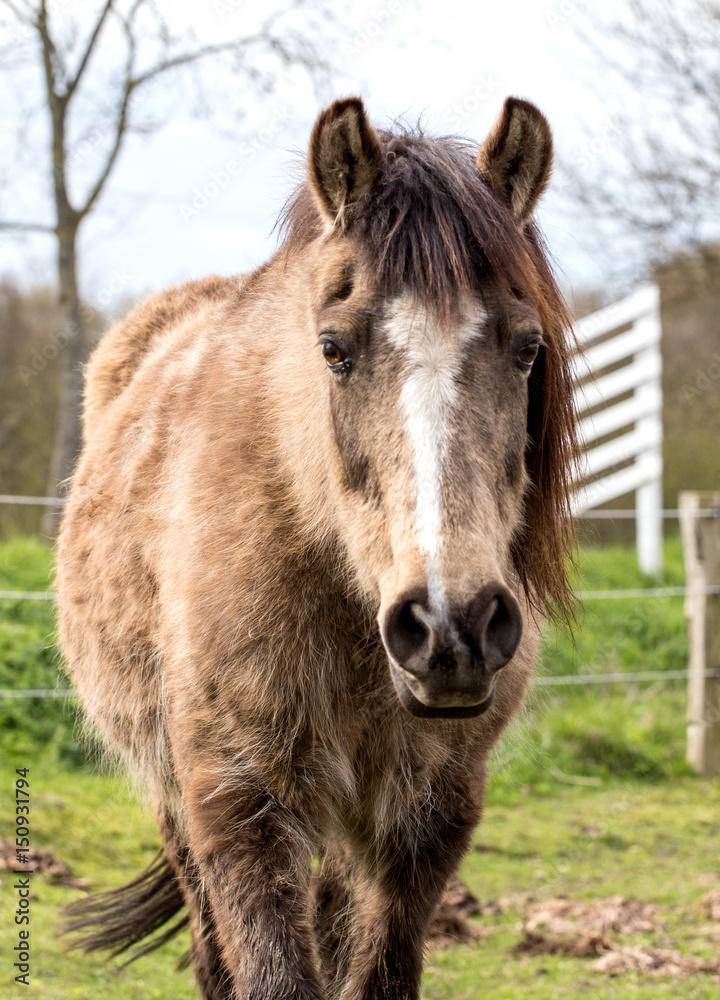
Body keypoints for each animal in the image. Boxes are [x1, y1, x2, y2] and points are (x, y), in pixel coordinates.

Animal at [56, 95, 576, 1000]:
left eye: (527, 348)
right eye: (334, 349)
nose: (451, 629)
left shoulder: (426, 822)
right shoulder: (238, 805)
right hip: (173, 798)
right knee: (210, 950)